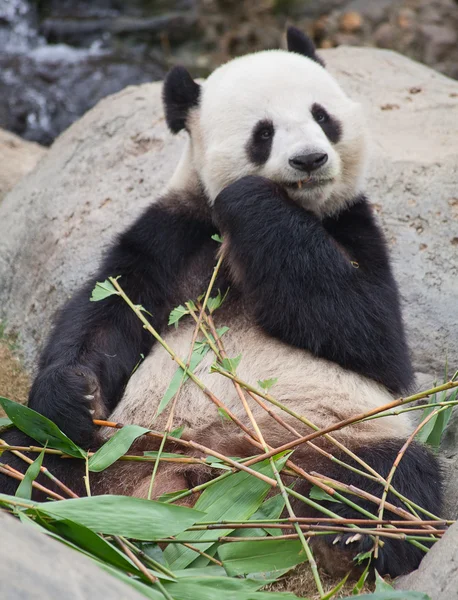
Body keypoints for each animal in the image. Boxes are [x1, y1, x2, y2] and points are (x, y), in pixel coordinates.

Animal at [0, 29, 444, 580]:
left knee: (393, 478)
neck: (299, 211)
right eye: (263, 132)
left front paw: (252, 199)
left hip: (338, 434)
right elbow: (108, 311)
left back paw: (355, 536)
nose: (310, 160)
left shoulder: (351, 224)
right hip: (113, 444)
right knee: (30, 453)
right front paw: (74, 392)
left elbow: (373, 335)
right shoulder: (173, 234)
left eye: (322, 116)